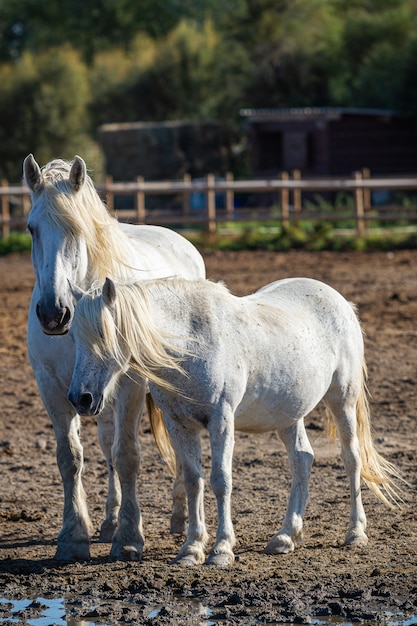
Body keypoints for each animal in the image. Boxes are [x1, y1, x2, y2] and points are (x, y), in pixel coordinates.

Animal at [24, 154, 205, 560]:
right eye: (31, 229)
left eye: (78, 229)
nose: (53, 314)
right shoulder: (53, 386)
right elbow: (71, 458)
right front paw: (74, 536)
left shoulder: (130, 386)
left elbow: (127, 456)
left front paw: (130, 538)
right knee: (106, 446)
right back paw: (107, 522)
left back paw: (178, 517)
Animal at [67, 274, 400, 564]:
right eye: (72, 336)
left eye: (104, 333)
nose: (80, 398)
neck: (191, 344)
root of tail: (339, 300)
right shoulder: (179, 425)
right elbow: (193, 482)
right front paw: (191, 550)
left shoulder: (221, 420)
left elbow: (221, 480)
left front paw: (221, 550)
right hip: (288, 415)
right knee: (302, 459)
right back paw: (286, 536)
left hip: (342, 399)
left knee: (352, 458)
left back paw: (355, 533)